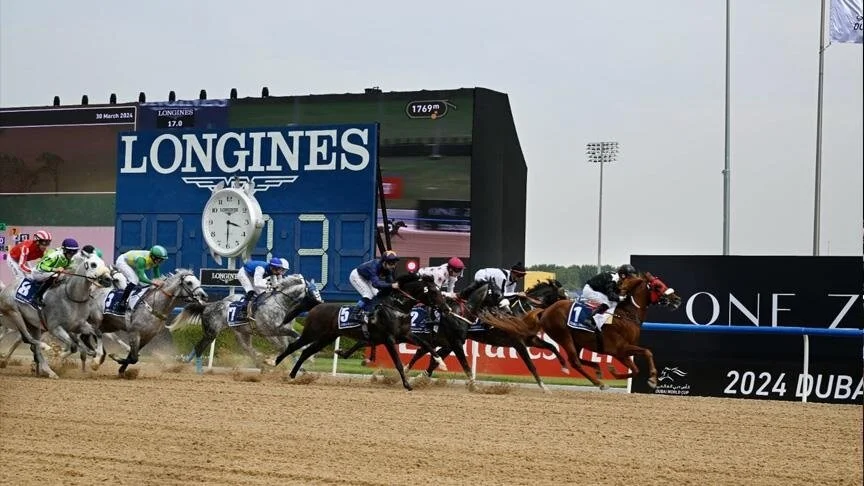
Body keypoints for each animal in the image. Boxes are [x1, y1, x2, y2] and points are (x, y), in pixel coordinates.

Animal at [172, 274, 324, 372]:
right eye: (313, 292)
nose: (322, 304)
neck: (280, 303)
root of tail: (207, 306)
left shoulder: (279, 332)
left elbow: (288, 345)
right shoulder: (274, 331)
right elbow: (291, 341)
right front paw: (308, 358)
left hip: (241, 333)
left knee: (247, 348)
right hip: (211, 332)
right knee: (199, 347)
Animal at [276, 274, 452, 392]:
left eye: (440, 292)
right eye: (434, 293)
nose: (447, 309)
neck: (397, 307)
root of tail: (317, 305)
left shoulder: (406, 335)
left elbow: (427, 344)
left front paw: (441, 363)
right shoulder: (389, 339)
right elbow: (398, 363)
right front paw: (407, 384)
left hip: (326, 338)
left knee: (306, 352)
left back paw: (292, 375)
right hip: (312, 333)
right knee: (293, 346)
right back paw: (276, 364)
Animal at [482, 274, 680, 392]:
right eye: (657, 286)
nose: (676, 299)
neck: (625, 314)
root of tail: (546, 310)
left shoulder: (623, 351)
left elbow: (638, 366)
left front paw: (615, 371)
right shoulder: (620, 349)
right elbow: (646, 354)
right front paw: (650, 378)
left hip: (576, 341)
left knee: (577, 359)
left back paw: (597, 370)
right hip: (564, 336)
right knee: (575, 361)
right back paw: (599, 382)